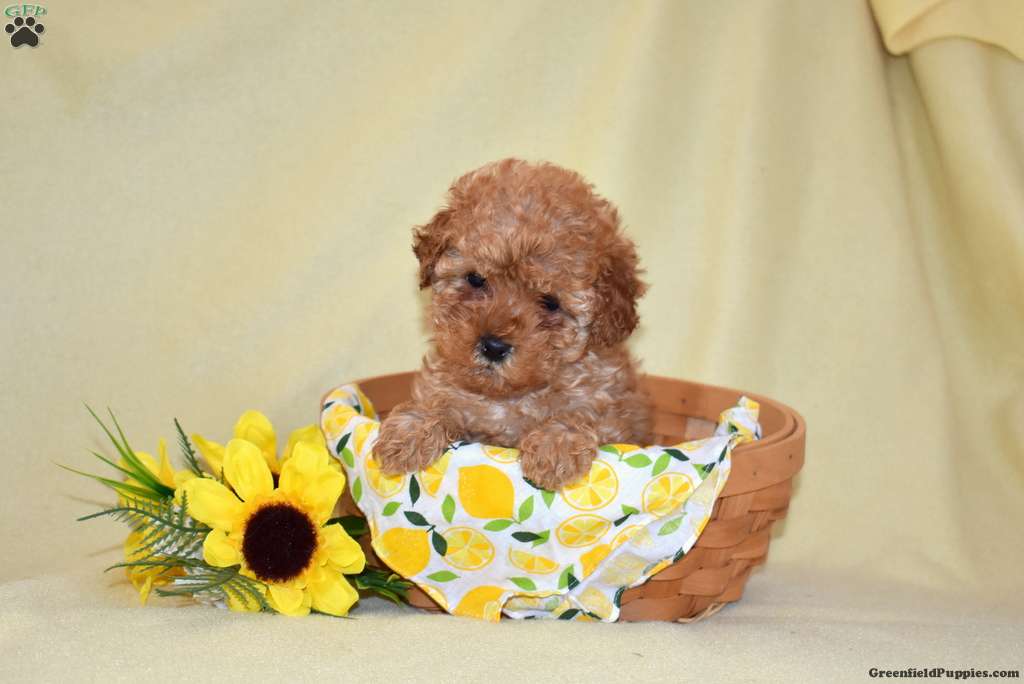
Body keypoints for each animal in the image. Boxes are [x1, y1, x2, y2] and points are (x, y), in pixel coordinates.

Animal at [374, 159, 652, 490]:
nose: (494, 347)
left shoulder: (615, 415)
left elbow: (582, 412)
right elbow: (437, 400)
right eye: (475, 279)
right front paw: (408, 432)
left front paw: (554, 446)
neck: (508, 396)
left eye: (550, 302)